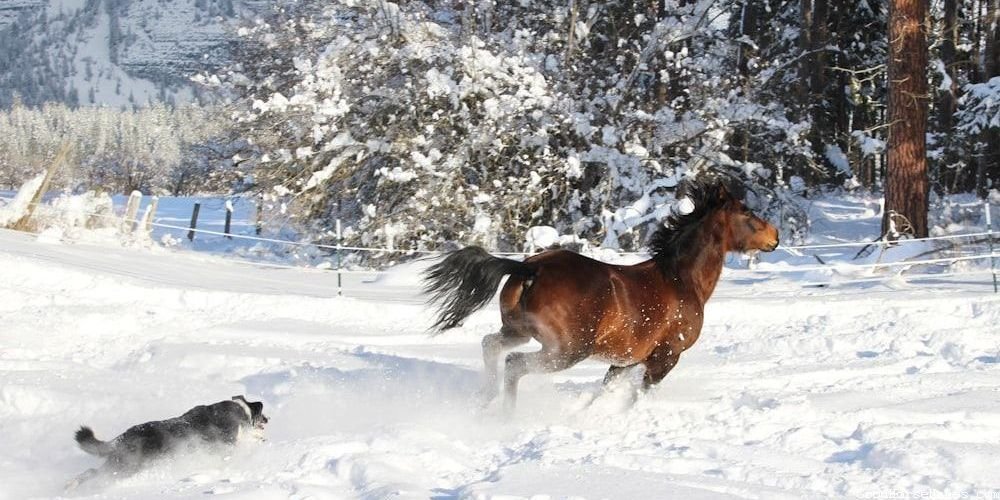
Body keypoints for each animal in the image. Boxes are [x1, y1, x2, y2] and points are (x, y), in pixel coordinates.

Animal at [68, 394, 268, 488]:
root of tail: (122, 437)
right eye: (261, 415)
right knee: (96, 474)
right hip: (127, 467)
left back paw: (70, 486)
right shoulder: (225, 445)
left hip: (119, 465)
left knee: (91, 472)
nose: (268, 420)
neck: (239, 412)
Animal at [422, 176, 780, 410]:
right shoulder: (665, 357)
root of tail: (531, 270)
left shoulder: (623, 361)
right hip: (566, 350)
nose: (775, 236)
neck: (680, 279)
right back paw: (504, 414)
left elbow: (603, 392)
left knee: (491, 345)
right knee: (514, 364)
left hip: (520, 331)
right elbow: (638, 397)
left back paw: (483, 399)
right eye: (747, 212)